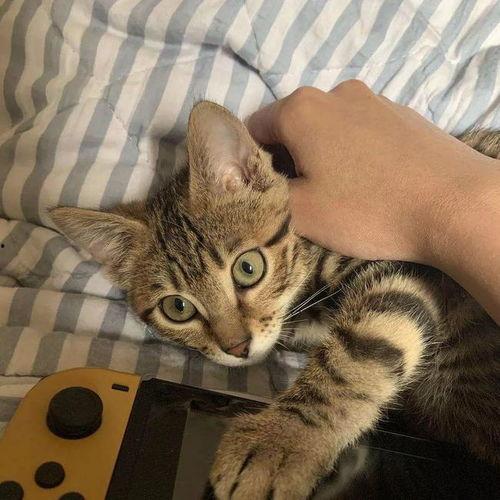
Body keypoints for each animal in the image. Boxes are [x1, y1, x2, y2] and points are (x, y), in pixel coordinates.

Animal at [51, 102, 500, 500]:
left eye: (248, 268)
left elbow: (354, 356)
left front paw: (279, 443)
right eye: (177, 309)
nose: (237, 347)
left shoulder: (401, 263)